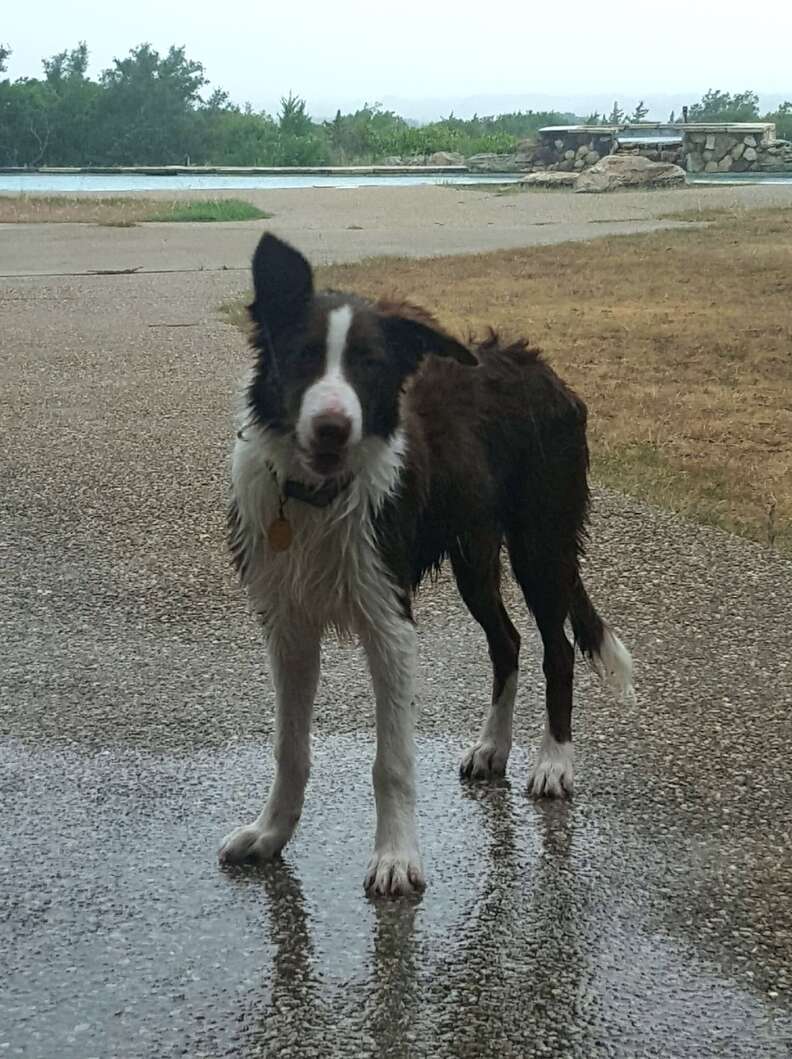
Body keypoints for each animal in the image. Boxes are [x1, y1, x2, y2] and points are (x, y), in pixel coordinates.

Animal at [219, 236, 635, 898]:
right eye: (305, 355)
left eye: (369, 364)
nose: (332, 428)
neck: (317, 497)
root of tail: (541, 366)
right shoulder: (288, 626)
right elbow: (290, 748)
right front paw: (270, 834)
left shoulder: (390, 622)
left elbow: (391, 761)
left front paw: (395, 857)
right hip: (474, 556)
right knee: (508, 641)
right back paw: (493, 748)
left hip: (542, 545)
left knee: (559, 648)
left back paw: (553, 761)